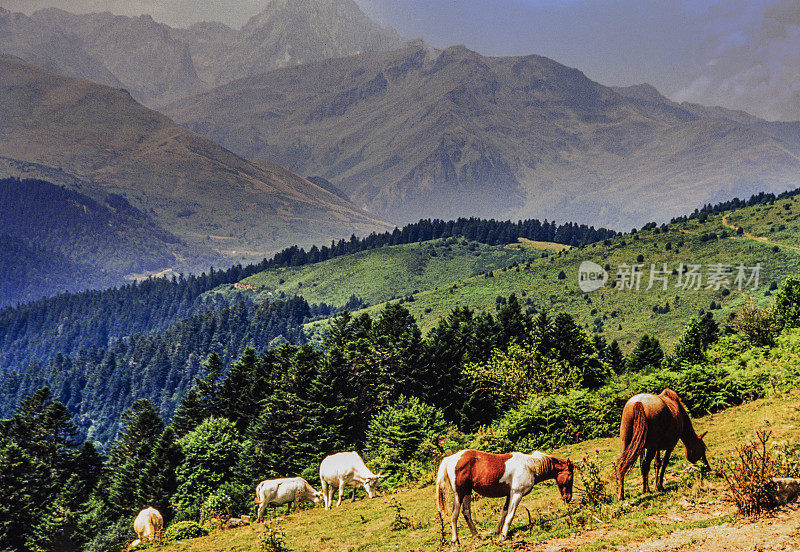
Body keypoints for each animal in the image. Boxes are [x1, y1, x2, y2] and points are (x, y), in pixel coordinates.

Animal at [434, 448, 572, 544]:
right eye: (570, 476)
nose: (568, 497)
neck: (529, 466)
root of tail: (451, 458)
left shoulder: (509, 495)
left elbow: (504, 513)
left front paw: (498, 532)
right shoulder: (517, 494)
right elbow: (510, 515)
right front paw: (503, 536)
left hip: (467, 492)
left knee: (466, 512)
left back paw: (476, 536)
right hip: (459, 493)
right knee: (455, 514)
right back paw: (455, 540)